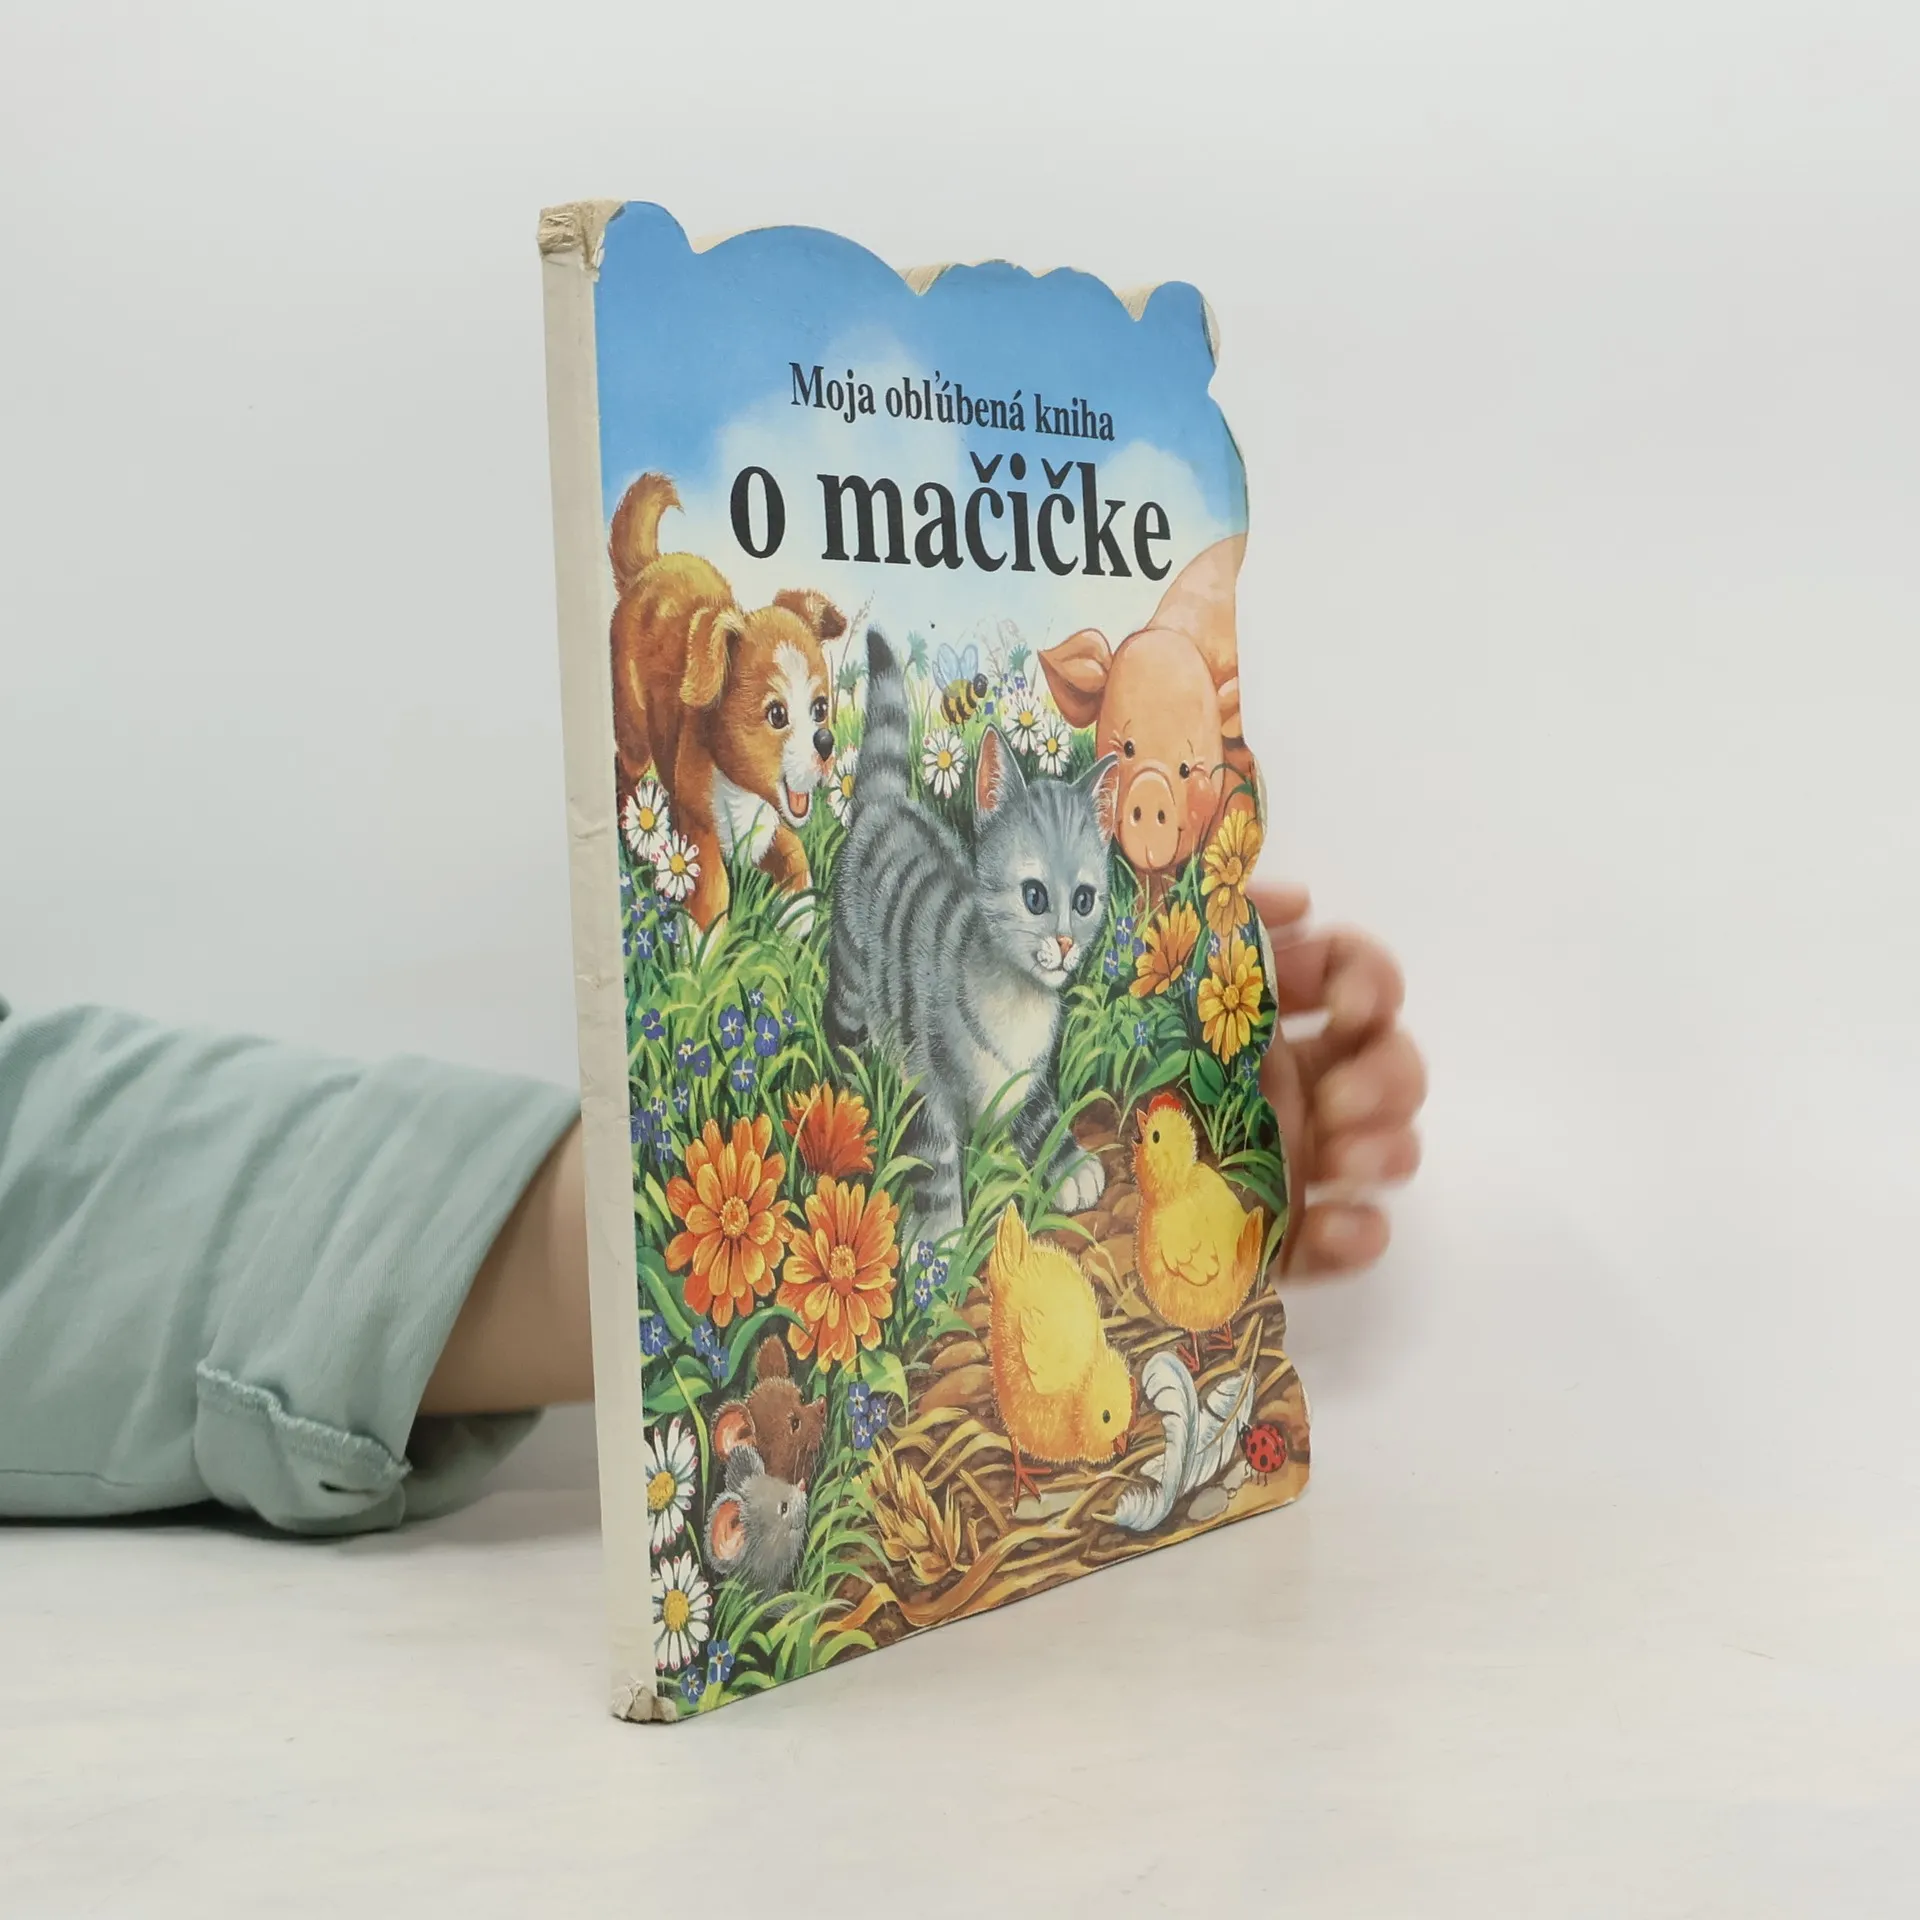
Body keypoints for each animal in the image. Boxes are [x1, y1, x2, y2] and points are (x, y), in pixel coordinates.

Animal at [826, 629, 1121, 1242]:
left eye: (1084, 901)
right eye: (1035, 897)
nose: (1064, 945)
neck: (1017, 1004)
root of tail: (889, 802)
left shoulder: (1025, 1077)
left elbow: (1039, 1112)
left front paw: (1068, 1163)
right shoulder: (923, 1080)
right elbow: (935, 1156)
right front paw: (939, 1237)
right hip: (850, 981)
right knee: (841, 1035)